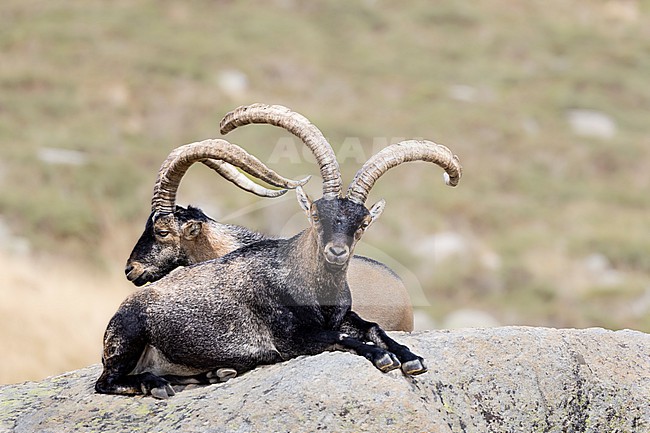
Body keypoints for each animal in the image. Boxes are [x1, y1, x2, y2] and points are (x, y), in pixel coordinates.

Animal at [95, 135, 462, 399]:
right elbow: (341, 338)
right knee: (107, 381)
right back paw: (157, 385)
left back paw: (213, 374)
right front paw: (383, 358)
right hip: (130, 335)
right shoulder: (291, 340)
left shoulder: (346, 317)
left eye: (363, 223)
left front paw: (410, 357)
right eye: (315, 215)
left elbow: (371, 328)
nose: (130, 269)